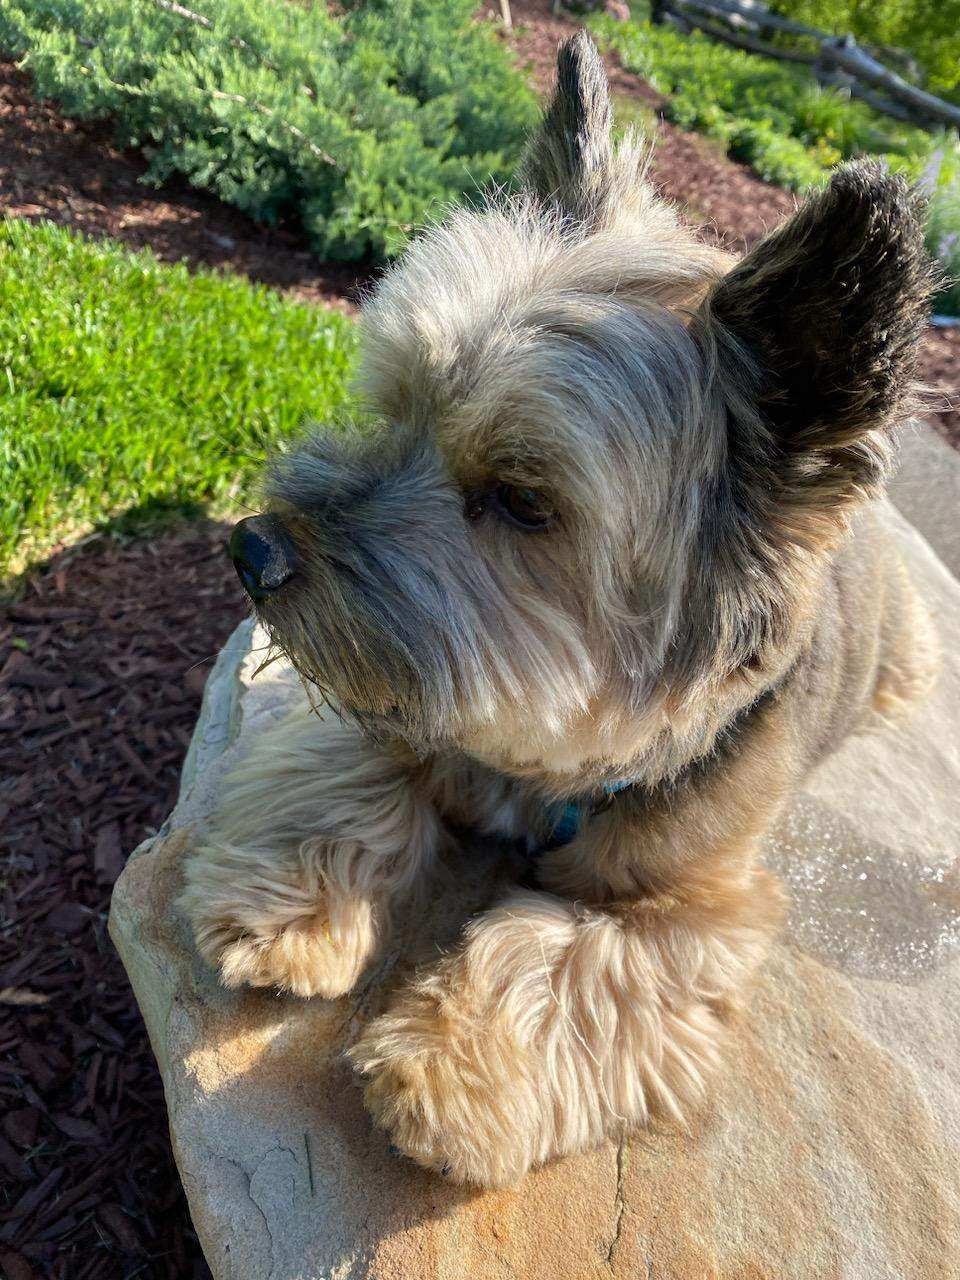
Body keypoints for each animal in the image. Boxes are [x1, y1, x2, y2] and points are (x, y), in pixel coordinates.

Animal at [180, 33, 936, 1188]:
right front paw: (287, 910)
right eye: (396, 402)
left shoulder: (699, 909)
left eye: (524, 500)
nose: (251, 550)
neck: (557, 761)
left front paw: (448, 1067)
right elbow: (355, 771)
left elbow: (564, 956)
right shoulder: (405, 706)